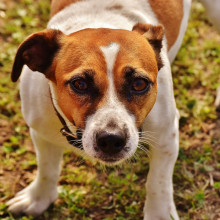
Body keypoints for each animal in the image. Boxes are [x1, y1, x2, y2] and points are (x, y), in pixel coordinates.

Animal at [6, 0, 220, 219]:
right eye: (80, 84)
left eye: (139, 84)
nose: (111, 139)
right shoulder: (41, 132)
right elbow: (47, 168)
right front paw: (38, 197)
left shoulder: (166, 136)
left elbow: (158, 183)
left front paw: (159, 214)